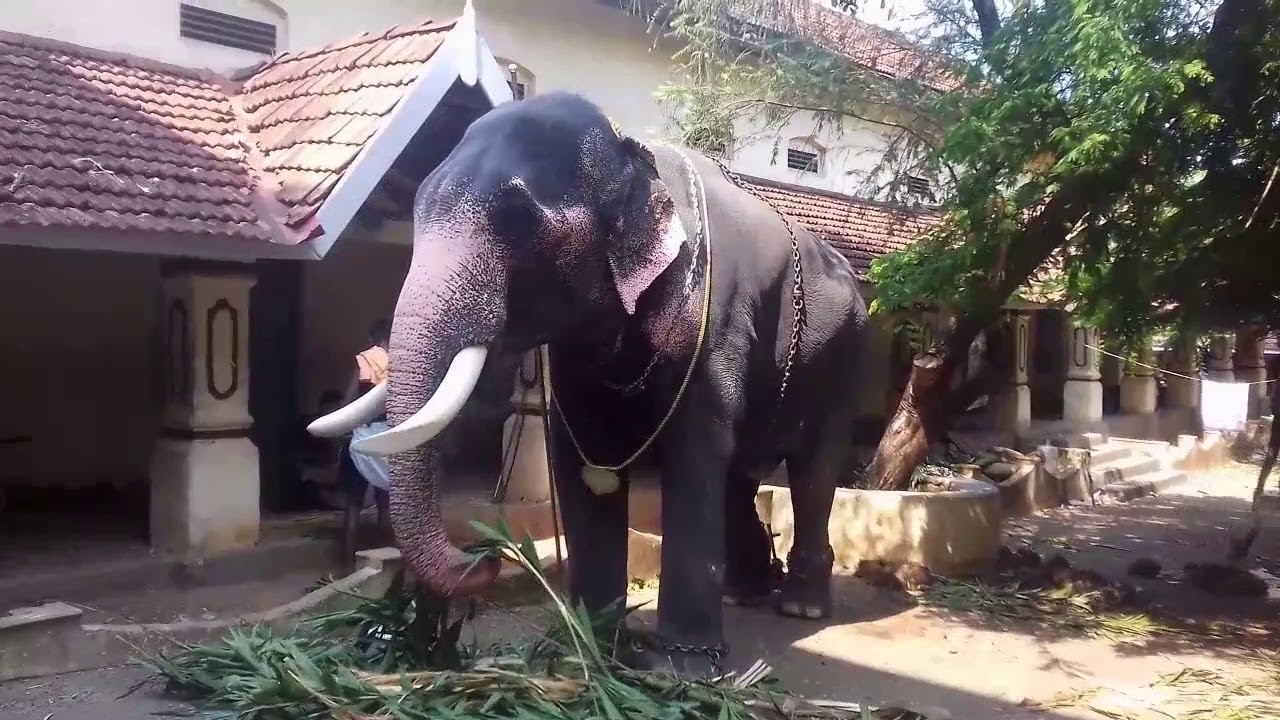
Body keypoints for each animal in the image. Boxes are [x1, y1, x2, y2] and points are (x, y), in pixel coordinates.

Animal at [308, 91, 871, 677]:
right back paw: (747, 592)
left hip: (847, 358)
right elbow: (578, 457)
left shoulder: (715, 327)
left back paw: (801, 607)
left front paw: (685, 672)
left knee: (812, 473)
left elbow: (695, 454)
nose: (484, 562)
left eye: (518, 221)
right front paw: (591, 648)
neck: (635, 151)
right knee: (742, 476)